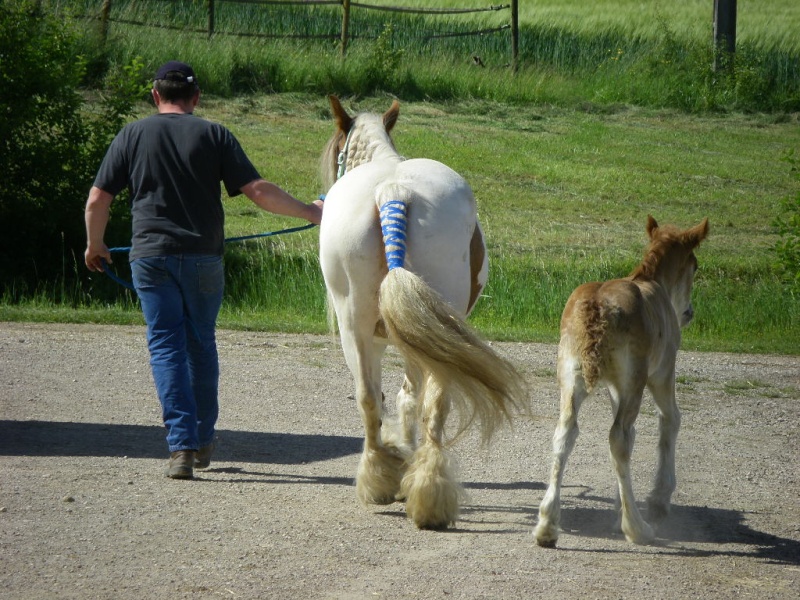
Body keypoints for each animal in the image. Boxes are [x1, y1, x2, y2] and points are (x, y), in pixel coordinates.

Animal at [318, 95, 532, 528]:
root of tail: (393, 191)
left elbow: (401, 398)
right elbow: (406, 398)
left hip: (363, 328)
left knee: (375, 397)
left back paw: (392, 482)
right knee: (422, 403)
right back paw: (420, 488)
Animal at [536, 217, 708, 548]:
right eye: (694, 266)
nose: (689, 312)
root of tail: (596, 308)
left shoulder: (615, 387)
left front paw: (619, 505)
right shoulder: (662, 372)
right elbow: (670, 418)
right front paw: (658, 499)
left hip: (571, 377)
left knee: (565, 433)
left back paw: (547, 525)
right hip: (635, 380)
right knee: (619, 436)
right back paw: (637, 527)